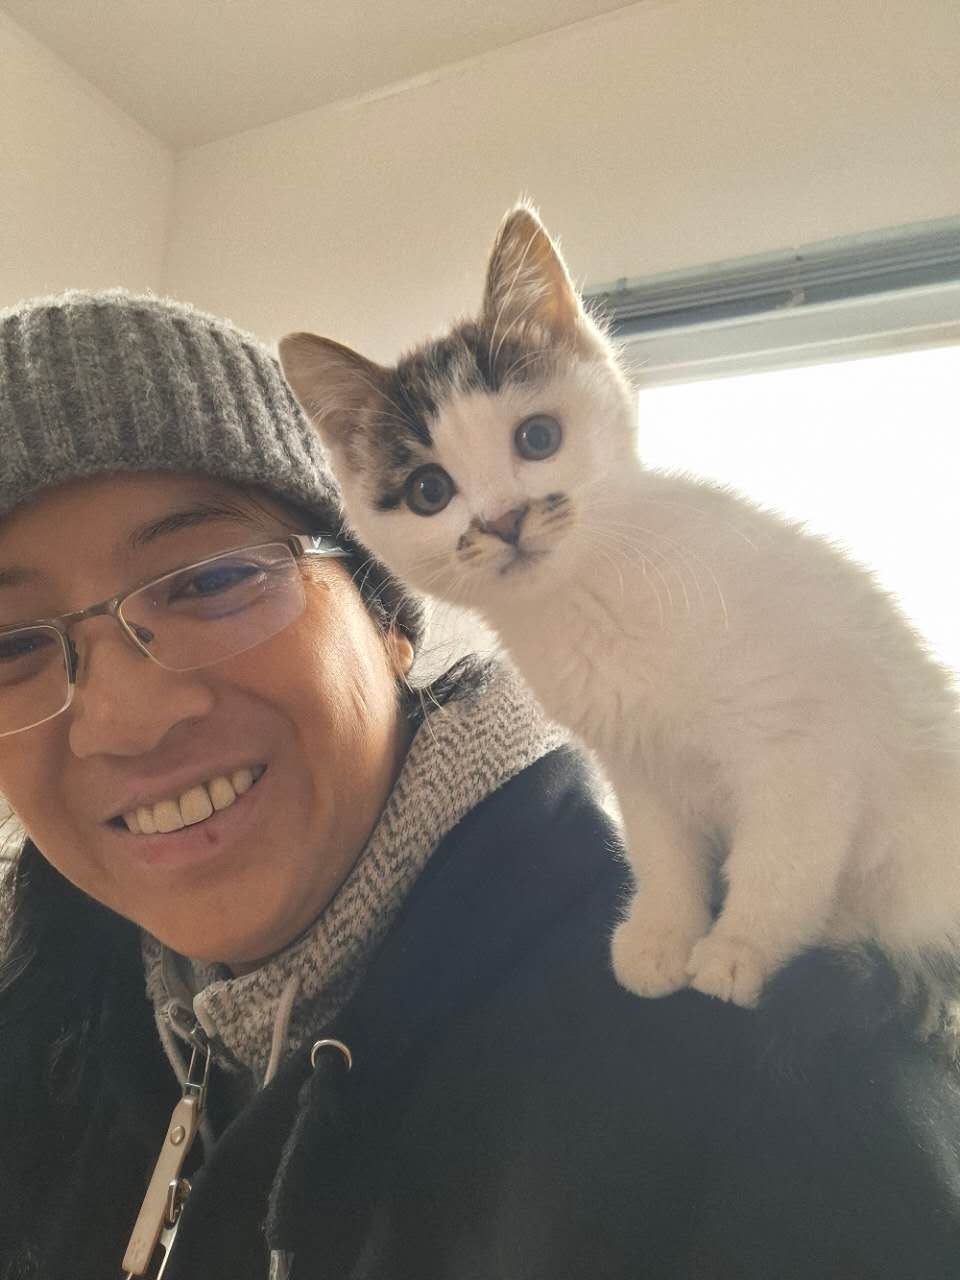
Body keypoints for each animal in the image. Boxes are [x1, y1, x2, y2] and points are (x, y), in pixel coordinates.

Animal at [279, 203, 960, 1025]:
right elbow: (663, 852)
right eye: (428, 491)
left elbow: (782, 860)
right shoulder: (636, 762)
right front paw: (664, 935)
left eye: (538, 437)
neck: (591, 604)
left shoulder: (806, 743)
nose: (504, 519)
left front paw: (739, 947)